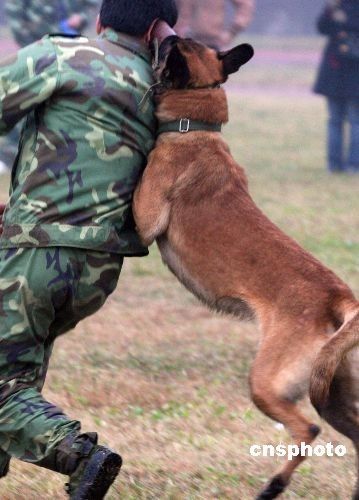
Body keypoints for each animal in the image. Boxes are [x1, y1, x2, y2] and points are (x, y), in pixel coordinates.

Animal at [134, 36, 359, 500]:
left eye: (170, 48)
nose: (161, 35)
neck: (196, 127)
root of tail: (339, 297)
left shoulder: (145, 218)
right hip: (332, 390)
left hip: (268, 383)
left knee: (307, 429)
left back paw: (273, 485)